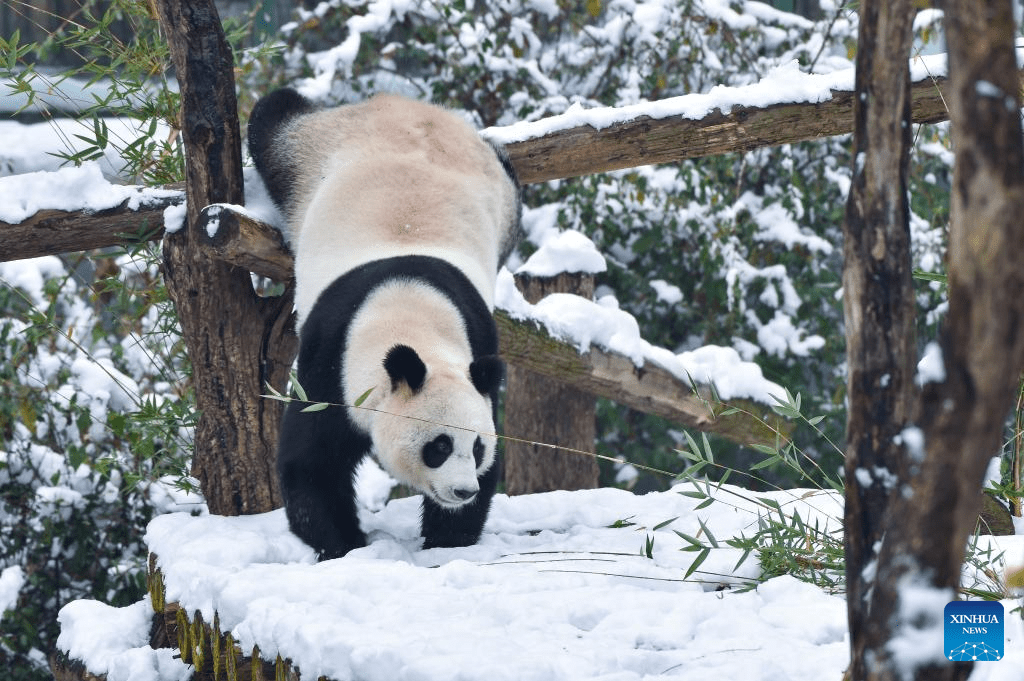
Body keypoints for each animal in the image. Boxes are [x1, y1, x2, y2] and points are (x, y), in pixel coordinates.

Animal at [246, 87, 520, 561]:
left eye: (476, 446)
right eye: (439, 447)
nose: (462, 491)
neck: (409, 315)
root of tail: (410, 107)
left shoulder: (477, 343)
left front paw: (446, 540)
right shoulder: (329, 358)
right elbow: (312, 461)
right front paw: (342, 544)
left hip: (502, 196)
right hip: (310, 148)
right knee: (274, 120)